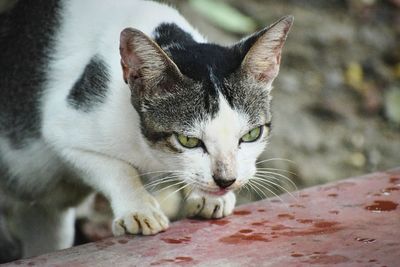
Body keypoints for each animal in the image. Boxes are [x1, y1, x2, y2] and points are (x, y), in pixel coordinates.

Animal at [0, 0, 294, 262]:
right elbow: (118, 168)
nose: (226, 180)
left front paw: (207, 197)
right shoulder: (63, 128)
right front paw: (139, 209)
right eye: (188, 140)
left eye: (251, 135)